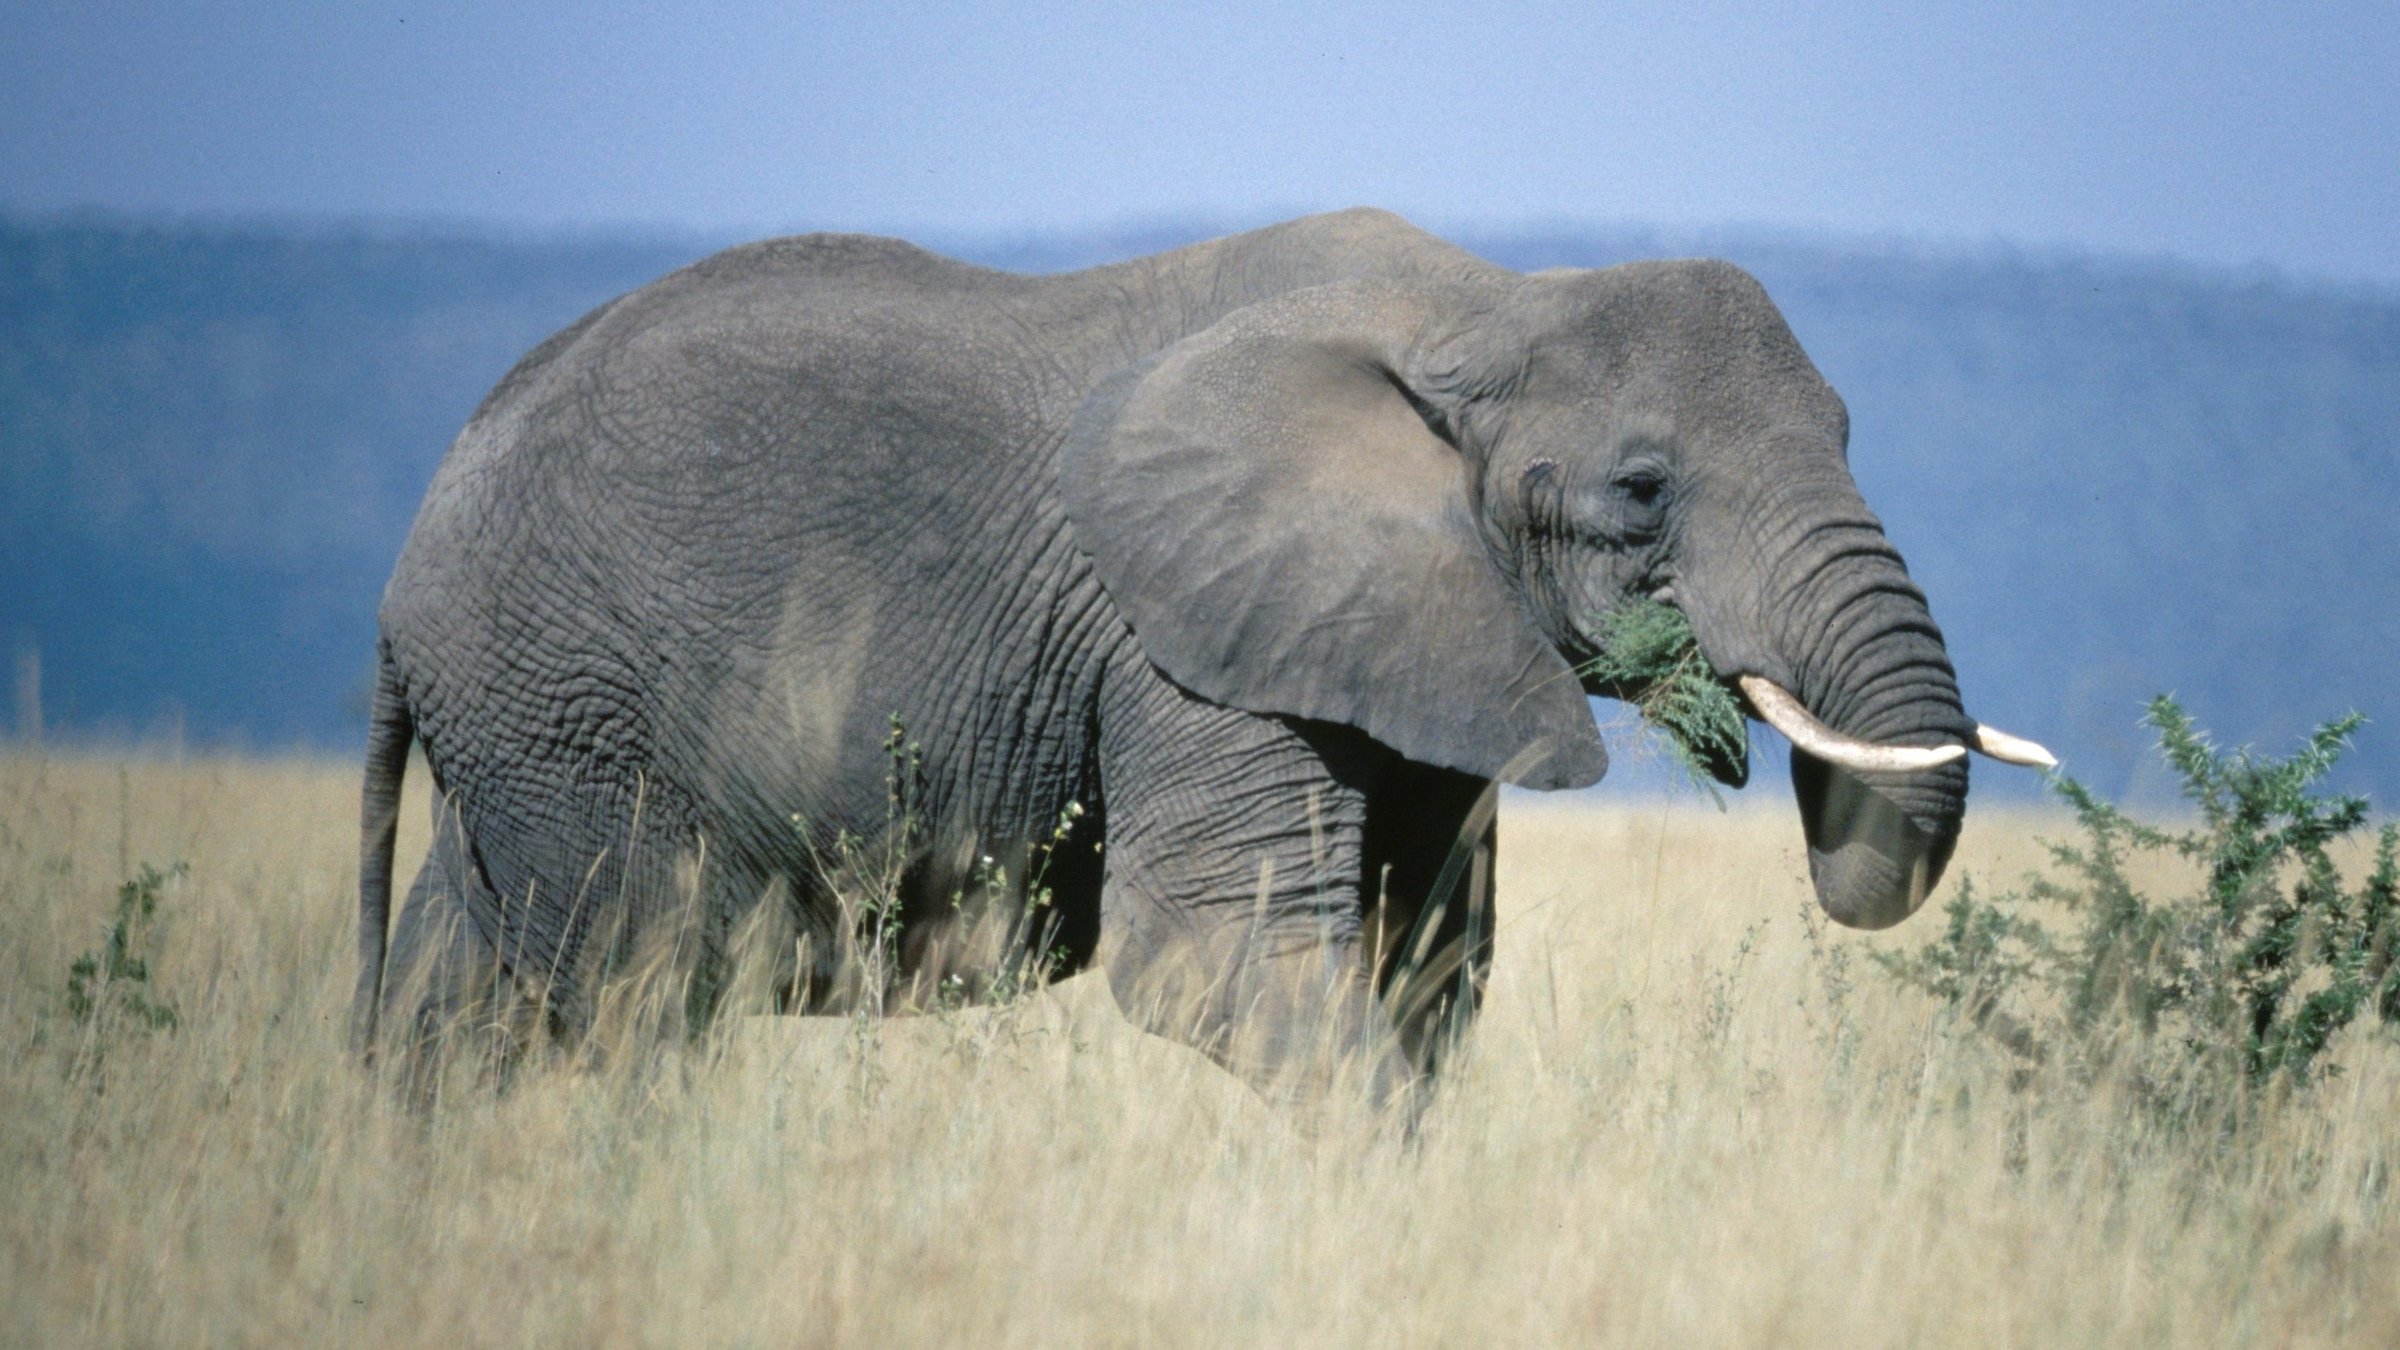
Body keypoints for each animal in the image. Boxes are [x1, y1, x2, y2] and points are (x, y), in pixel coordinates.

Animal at [353, 208, 2049, 1105]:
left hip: (526, 721)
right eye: (1642, 489)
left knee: (464, 978)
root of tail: (416, 538)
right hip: (567, 704)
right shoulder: (1180, 635)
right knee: (637, 992)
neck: (1485, 305)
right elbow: (1229, 957)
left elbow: (1429, 971)